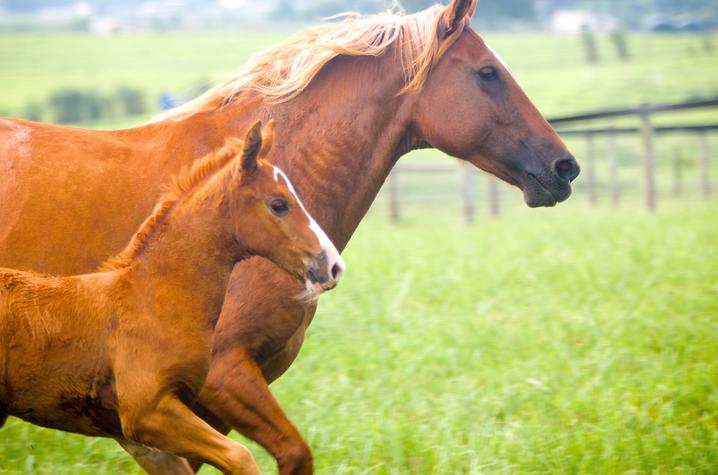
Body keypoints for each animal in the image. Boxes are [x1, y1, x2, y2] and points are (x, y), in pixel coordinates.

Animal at [0, 121, 344, 474]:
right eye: (278, 204)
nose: (332, 265)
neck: (150, 299)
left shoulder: (143, 436)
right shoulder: (147, 413)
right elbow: (240, 456)